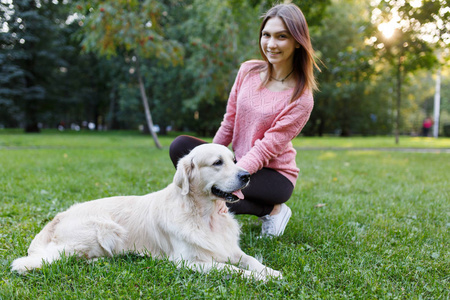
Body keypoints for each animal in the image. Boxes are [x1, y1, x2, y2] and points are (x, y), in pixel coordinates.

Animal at [11, 144, 282, 280]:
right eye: (217, 163)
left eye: (234, 160)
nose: (246, 175)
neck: (205, 215)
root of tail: (57, 218)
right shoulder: (190, 261)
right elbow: (231, 269)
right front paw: (261, 278)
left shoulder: (230, 249)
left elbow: (251, 260)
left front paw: (271, 272)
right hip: (103, 229)